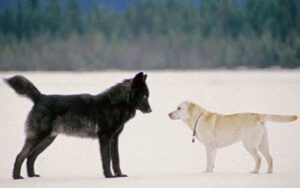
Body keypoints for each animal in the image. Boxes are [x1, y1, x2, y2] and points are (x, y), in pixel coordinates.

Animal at [6, 72, 152, 179]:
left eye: (148, 95)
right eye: (144, 95)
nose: (150, 110)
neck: (115, 104)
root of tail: (40, 97)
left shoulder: (114, 138)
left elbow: (116, 159)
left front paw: (119, 175)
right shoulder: (104, 137)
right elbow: (107, 159)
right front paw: (109, 176)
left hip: (48, 139)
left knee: (30, 157)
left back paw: (32, 176)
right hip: (39, 137)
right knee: (20, 156)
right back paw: (17, 177)